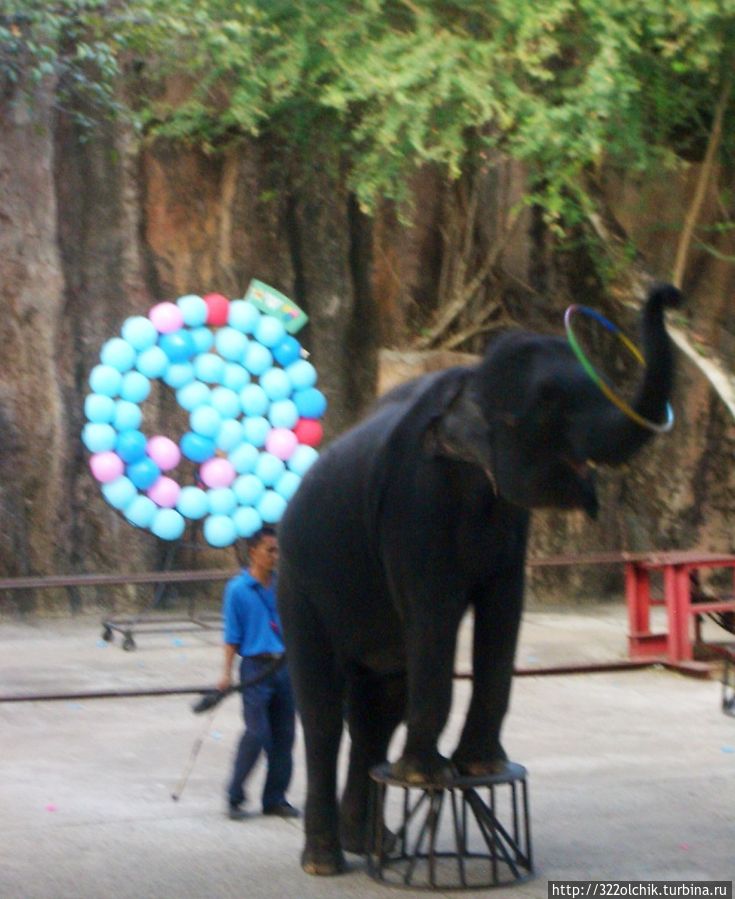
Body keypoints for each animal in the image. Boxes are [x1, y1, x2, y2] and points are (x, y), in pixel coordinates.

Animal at [277, 284, 681, 876]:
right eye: (548, 403)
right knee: (323, 712)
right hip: (298, 585)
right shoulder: (415, 505)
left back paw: (376, 844)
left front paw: (480, 767)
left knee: (378, 706)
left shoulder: (511, 522)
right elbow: (437, 612)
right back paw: (326, 861)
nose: (667, 294)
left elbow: (503, 610)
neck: (468, 382)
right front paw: (429, 775)